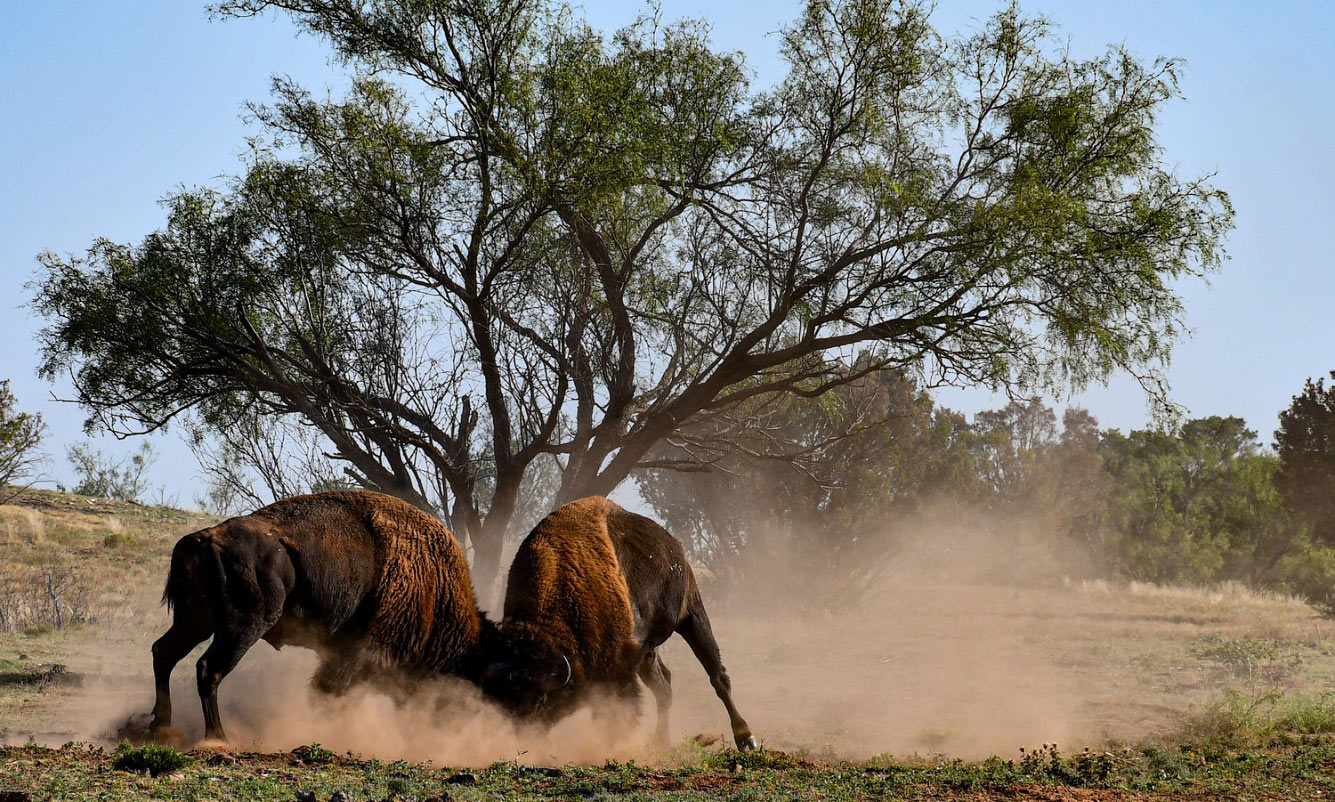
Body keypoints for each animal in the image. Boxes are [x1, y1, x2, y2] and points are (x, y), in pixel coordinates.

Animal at [148, 491, 483, 741]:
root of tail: (201, 540)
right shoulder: (359, 653)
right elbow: (329, 692)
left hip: (195, 621)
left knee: (164, 652)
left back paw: (161, 727)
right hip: (243, 627)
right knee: (208, 668)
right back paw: (218, 738)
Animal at [480, 493, 758, 752]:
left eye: (540, 700)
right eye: (503, 703)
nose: (522, 739)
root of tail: (674, 546)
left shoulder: (619, 668)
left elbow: (618, 710)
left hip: (692, 615)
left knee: (718, 677)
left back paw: (746, 738)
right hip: (649, 651)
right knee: (664, 687)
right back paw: (660, 743)